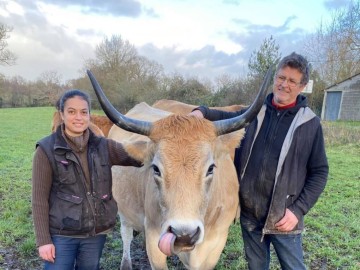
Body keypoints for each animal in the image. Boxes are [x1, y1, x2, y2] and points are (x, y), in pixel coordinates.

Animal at [86, 68, 272, 270]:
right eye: (156, 168)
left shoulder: (216, 243)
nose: (184, 234)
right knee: (126, 233)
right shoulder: (154, 239)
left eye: (211, 168)